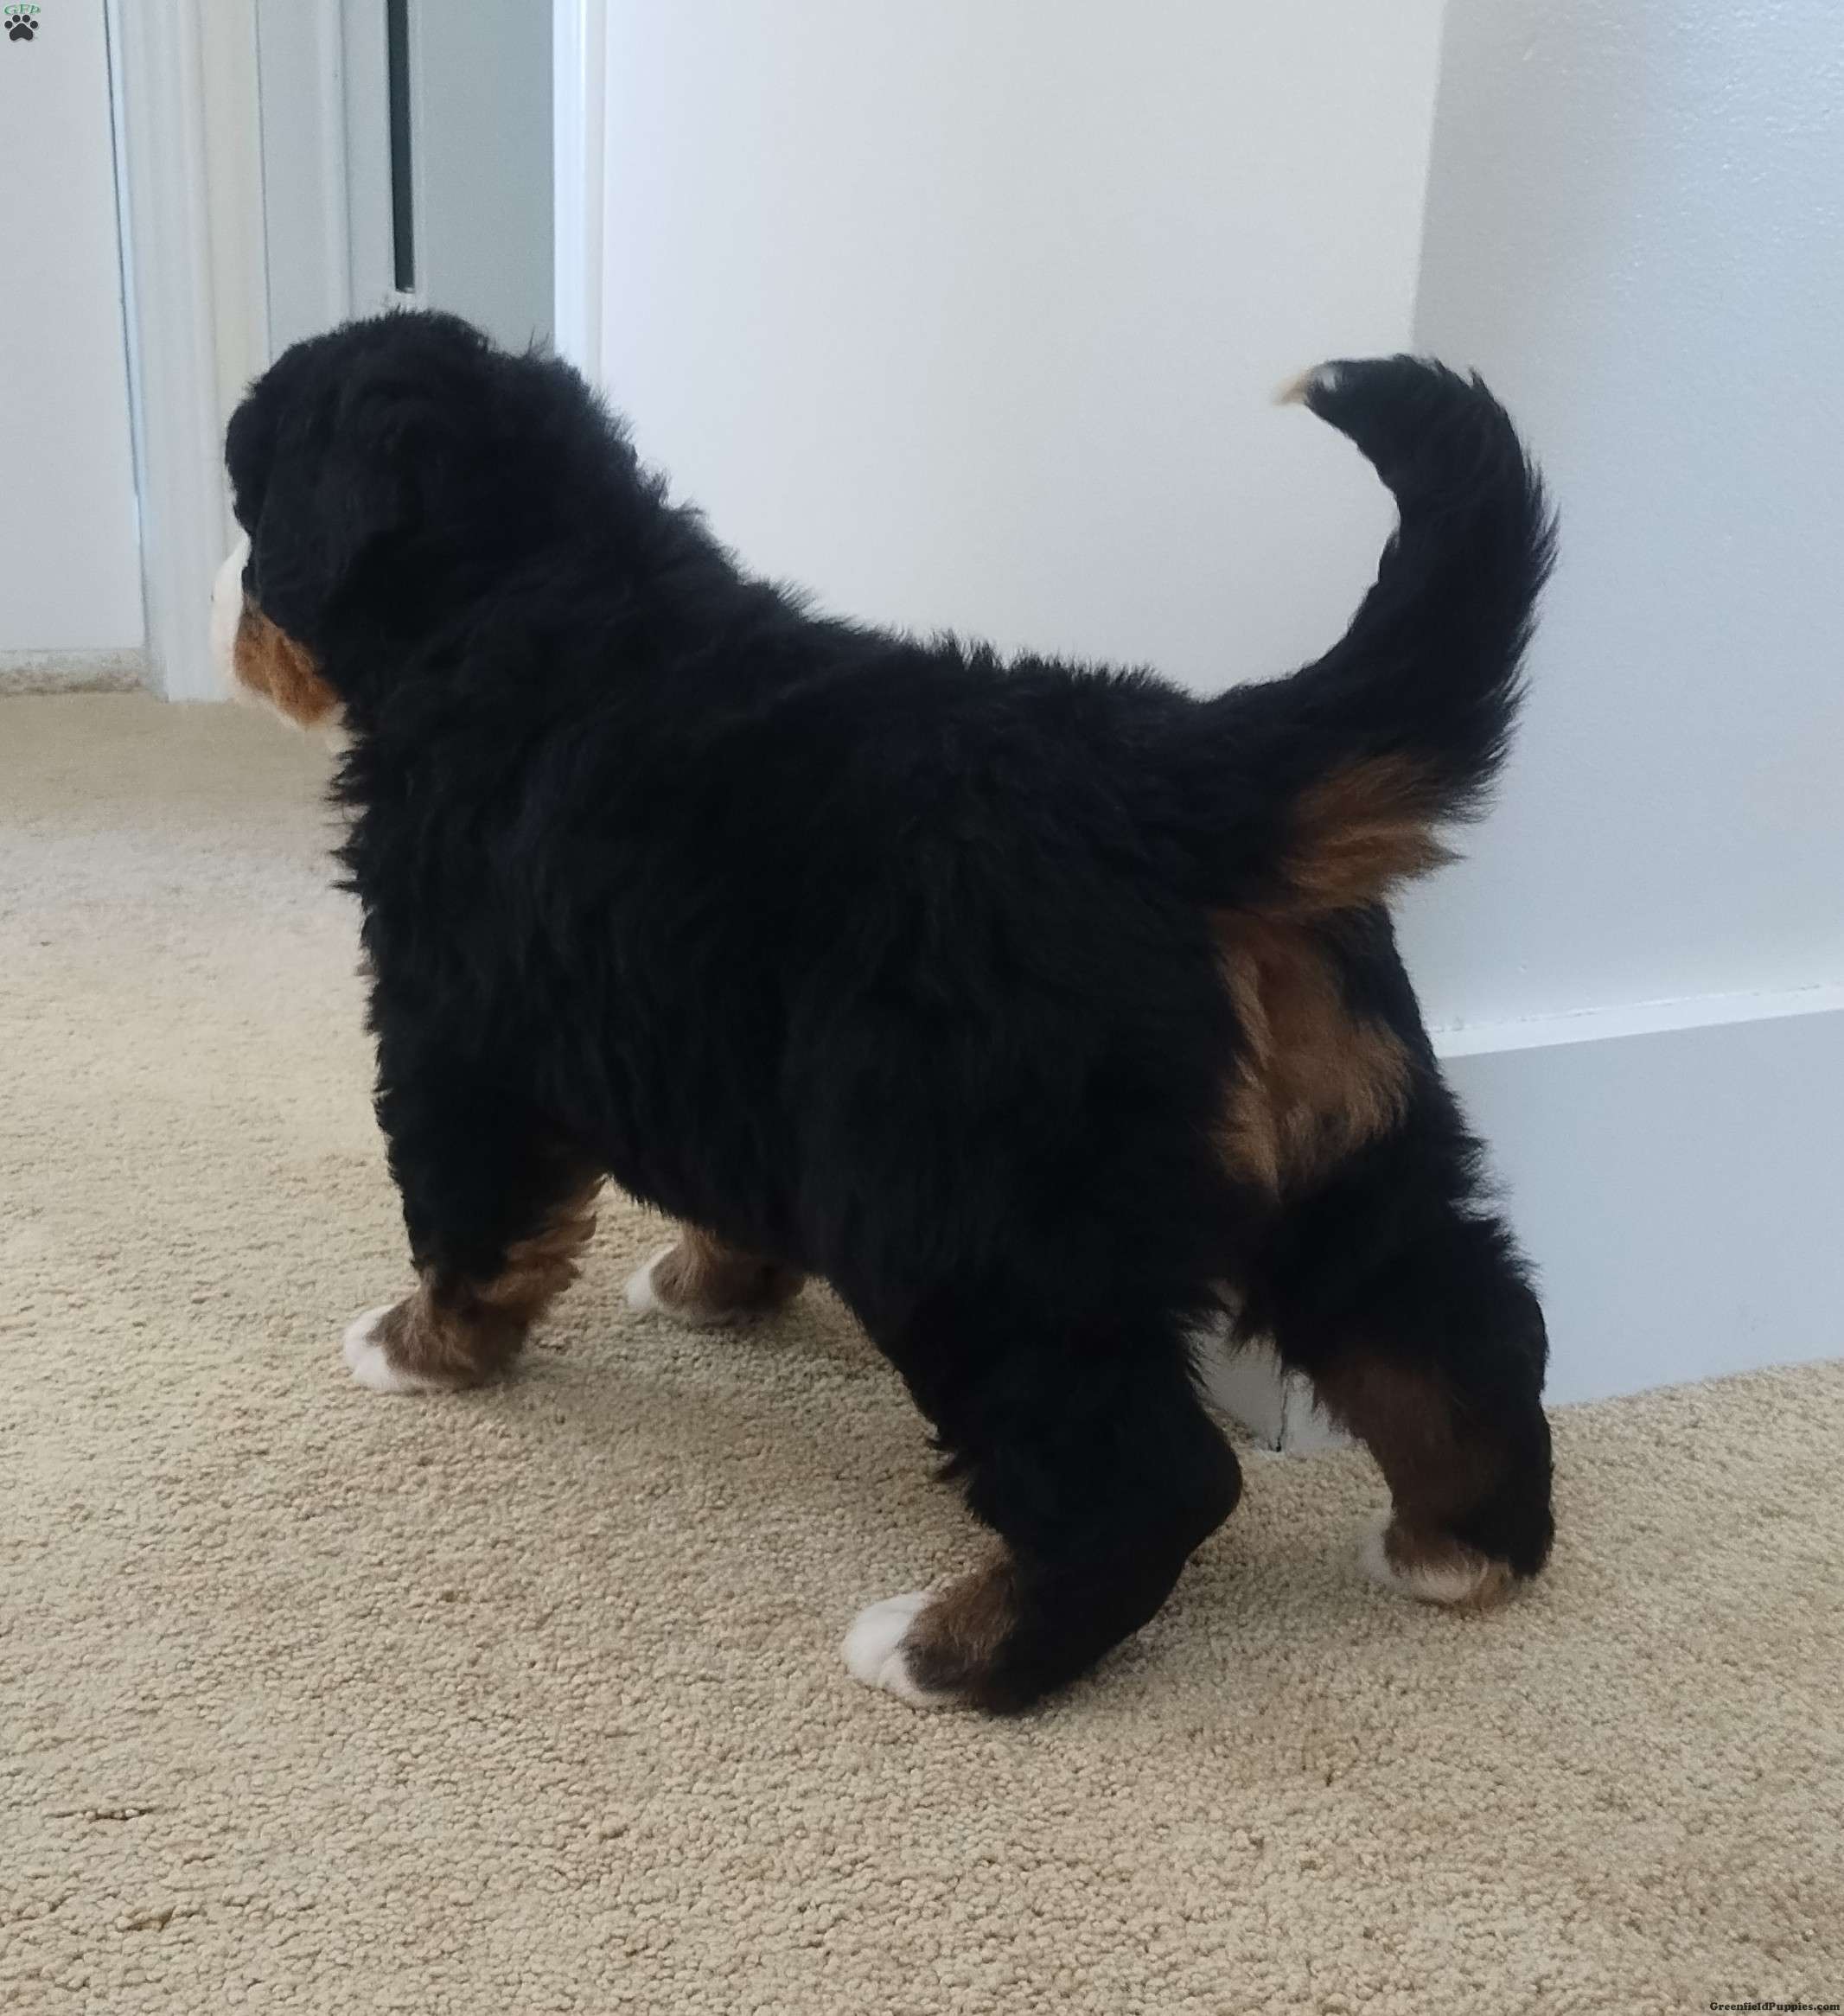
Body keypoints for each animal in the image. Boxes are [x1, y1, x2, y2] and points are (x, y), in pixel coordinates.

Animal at [216, 310, 1557, 1712]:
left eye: (247, 504)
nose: (223, 606)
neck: (524, 590)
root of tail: (1172, 789)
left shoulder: (452, 1031)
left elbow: (469, 1224)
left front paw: (417, 1349)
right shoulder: (707, 1051)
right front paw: (709, 1286)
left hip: (971, 1213)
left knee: (1142, 1475)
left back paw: (950, 1651)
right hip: (1352, 1141)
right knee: (1456, 1329)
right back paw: (1458, 1551)